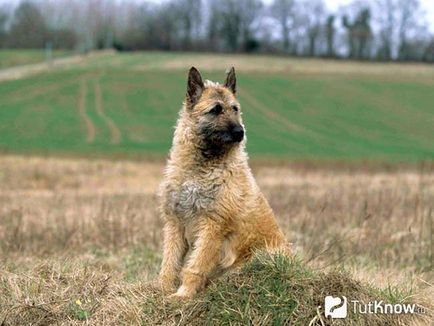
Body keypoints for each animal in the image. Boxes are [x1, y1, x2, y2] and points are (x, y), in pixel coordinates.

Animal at [157, 67, 288, 300]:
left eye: (235, 109)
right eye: (215, 110)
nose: (240, 132)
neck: (202, 167)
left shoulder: (213, 226)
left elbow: (195, 266)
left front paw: (183, 295)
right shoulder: (175, 223)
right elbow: (169, 263)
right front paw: (162, 291)